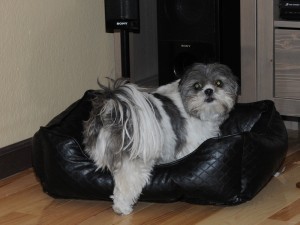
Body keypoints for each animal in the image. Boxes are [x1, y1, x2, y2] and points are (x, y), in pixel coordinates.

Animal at [82, 62, 239, 215]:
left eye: (218, 83)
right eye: (197, 86)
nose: (209, 91)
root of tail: (112, 110)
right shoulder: (191, 145)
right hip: (135, 160)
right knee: (127, 184)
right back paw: (123, 208)